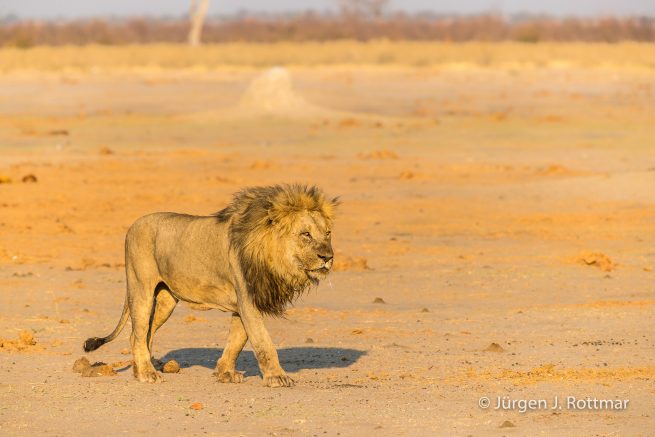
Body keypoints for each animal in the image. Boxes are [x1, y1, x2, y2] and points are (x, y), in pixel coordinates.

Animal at [83, 184, 338, 387]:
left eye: (327, 233)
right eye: (305, 234)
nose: (328, 257)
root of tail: (134, 224)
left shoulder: (243, 304)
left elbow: (237, 340)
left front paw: (225, 373)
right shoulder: (248, 301)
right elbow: (263, 342)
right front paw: (277, 377)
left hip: (166, 300)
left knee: (142, 334)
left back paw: (140, 370)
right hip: (141, 289)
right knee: (137, 334)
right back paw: (148, 373)